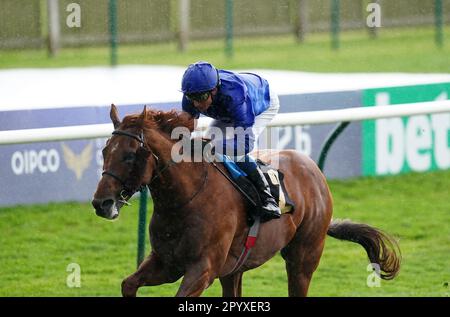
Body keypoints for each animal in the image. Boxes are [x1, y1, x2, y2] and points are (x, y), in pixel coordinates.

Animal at [91, 104, 400, 296]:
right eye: (105, 150)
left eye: (129, 155)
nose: (101, 203)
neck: (184, 200)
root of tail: (313, 168)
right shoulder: (167, 263)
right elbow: (128, 284)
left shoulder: (203, 268)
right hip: (234, 268)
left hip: (304, 256)